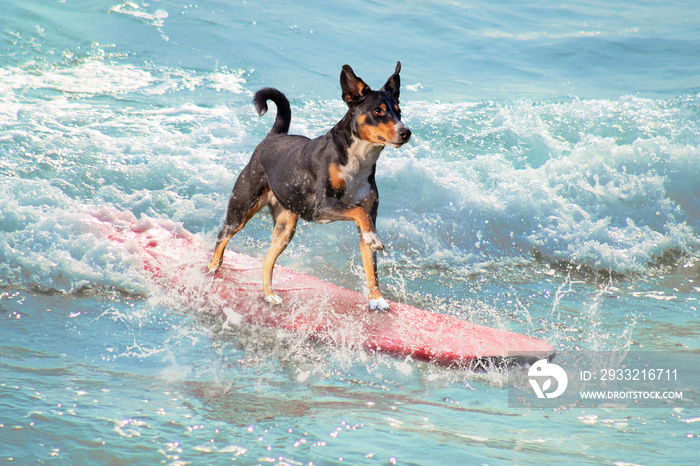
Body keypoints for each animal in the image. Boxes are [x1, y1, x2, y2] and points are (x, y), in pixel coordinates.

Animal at [208, 61, 410, 310]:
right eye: (378, 112)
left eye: (399, 112)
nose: (406, 132)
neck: (358, 158)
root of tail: (274, 136)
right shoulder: (323, 205)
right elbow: (358, 212)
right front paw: (375, 239)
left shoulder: (367, 215)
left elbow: (371, 266)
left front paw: (376, 299)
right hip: (241, 208)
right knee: (222, 236)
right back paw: (212, 268)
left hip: (285, 229)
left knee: (268, 259)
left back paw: (268, 294)